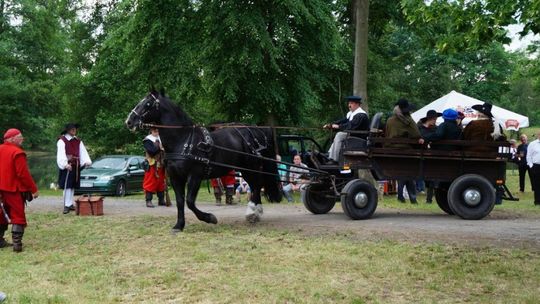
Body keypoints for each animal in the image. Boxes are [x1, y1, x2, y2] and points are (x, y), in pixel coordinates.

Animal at [124, 91, 280, 232]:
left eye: (147, 103)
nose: (129, 121)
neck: (183, 140)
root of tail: (255, 130)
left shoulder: (195, 176)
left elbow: (189, 201)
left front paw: (210, 218)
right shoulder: (175, 177)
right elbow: (180, 201)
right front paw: (179, 225)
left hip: (250, 167)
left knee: (256, 185)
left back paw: (253, 212)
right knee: (256, 185)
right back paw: (255, 212)